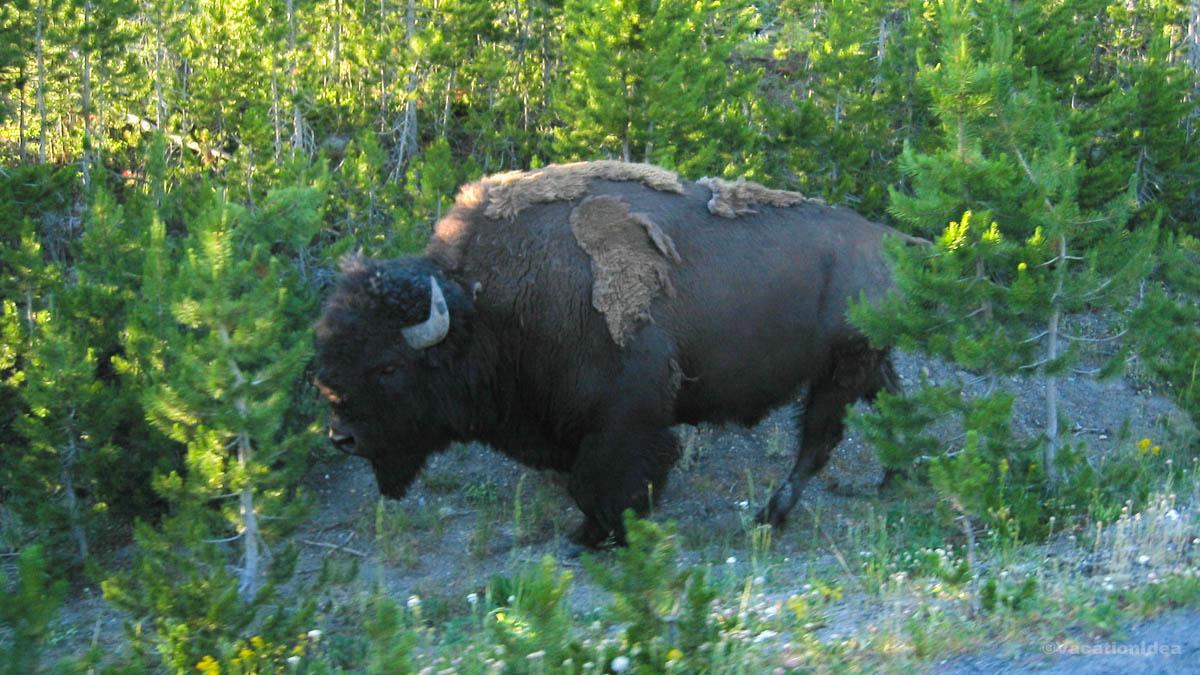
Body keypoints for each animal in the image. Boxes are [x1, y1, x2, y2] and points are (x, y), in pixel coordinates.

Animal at [314, 161, 905, 548]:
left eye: (389, 366)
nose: (342, 438)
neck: (486, 307)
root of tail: (889, 240)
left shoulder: (623, 421)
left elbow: (600, 481)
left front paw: (600, 535)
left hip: (840, 371)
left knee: (817, 442)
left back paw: (770, 516)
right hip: (863, 365)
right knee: (894, 409)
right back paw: (894, 480)